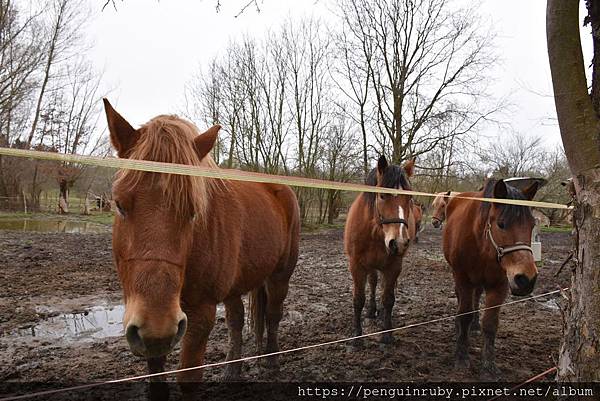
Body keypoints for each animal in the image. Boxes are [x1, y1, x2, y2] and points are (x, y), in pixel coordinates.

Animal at [103, 99, 300, 392]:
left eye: (193, 211)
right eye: (119, 204)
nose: (158, 323)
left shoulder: (201, 314)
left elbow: (189, 379)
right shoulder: (152, 332)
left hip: (279, 277)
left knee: (273, 315)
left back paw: (271, 361)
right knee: (236, 321)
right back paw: (232, 370)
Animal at [344, 155, 415, 345]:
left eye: (410, 198)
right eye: (382, 195)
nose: (399, 243)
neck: (376, 232)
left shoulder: (394, 265)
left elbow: (388, 299)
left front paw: (387, 334)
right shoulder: (357, 265)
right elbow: (358, 299)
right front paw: (357, 336)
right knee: (373, 282)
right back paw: (371, 311)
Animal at [442, 178, 539, 378]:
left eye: (532, 225)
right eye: (501, 224)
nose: (526, 280)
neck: (483, 245)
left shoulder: (499, 285)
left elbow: (490, 324)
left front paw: (489, 366)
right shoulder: (463, 279)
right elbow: (464, 314)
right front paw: (461, 357)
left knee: (477, 297)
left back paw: (474, 326)